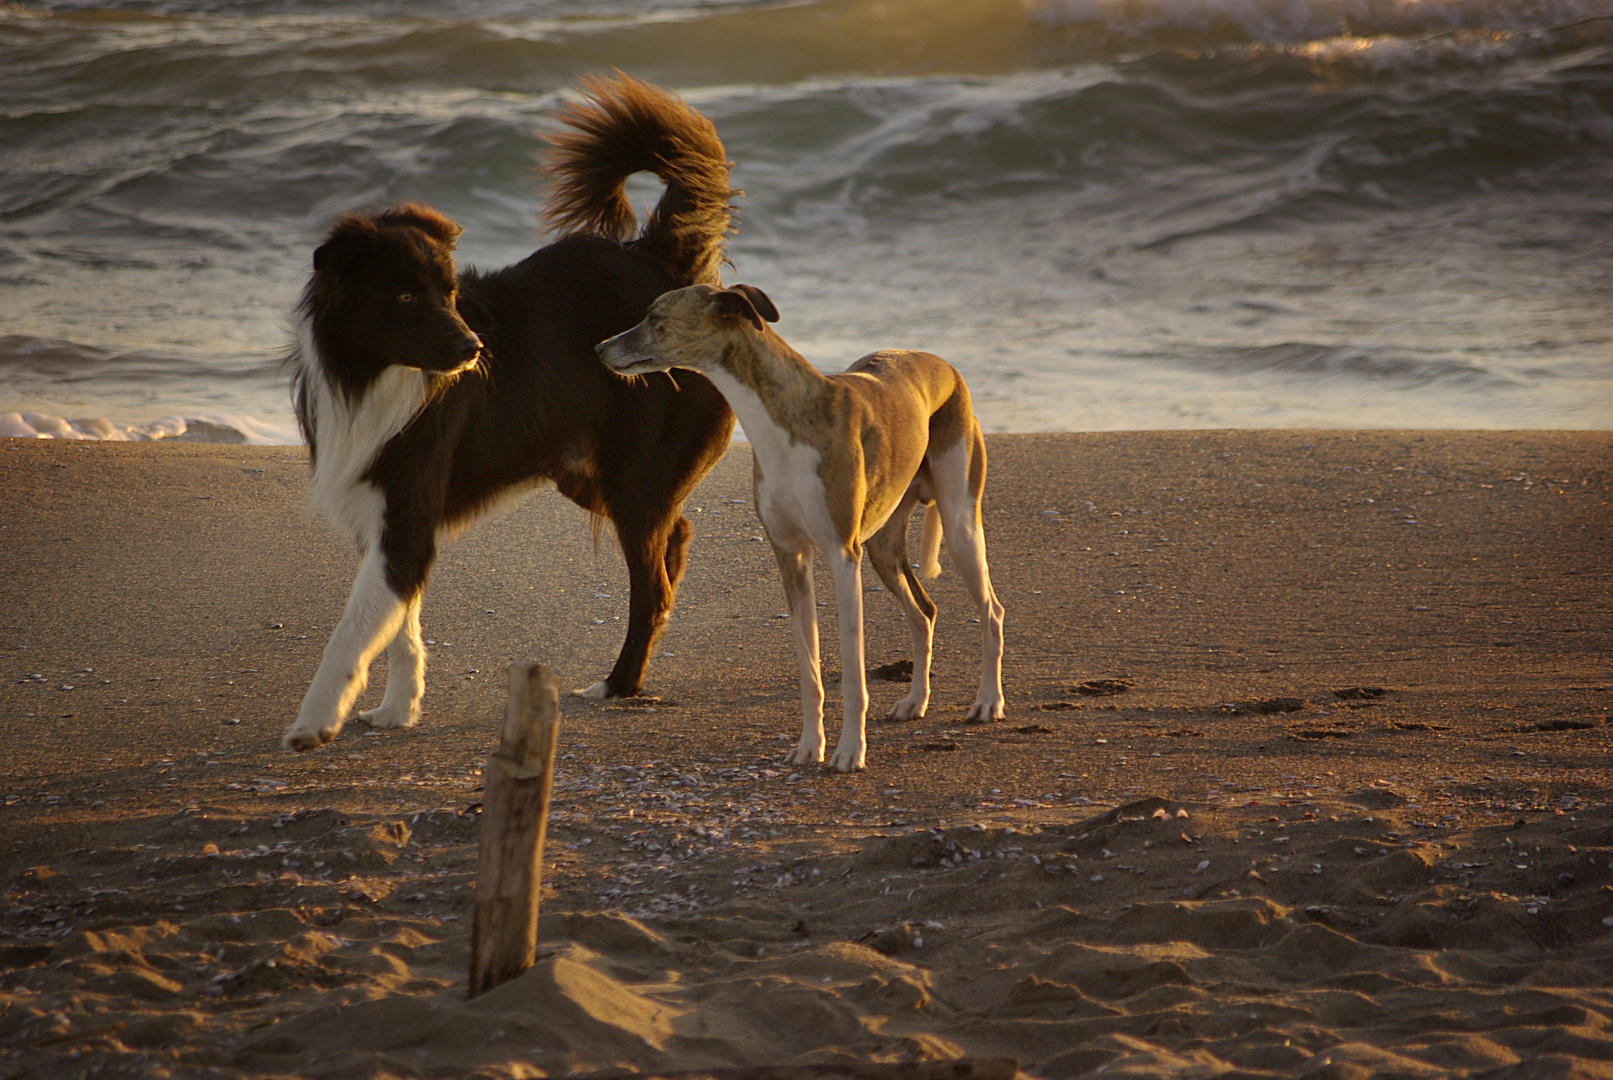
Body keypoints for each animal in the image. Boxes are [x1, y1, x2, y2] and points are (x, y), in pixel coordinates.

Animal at [283, 76, 738, 754]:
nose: (475, 349)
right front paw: (398, 708)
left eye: (449, 294)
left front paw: (315, 721)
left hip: (632, 479)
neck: (374, 373)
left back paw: (619, 684)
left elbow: (353, 630)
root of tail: (661, 266)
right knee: (675, 537)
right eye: (405, 295)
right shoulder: (391, 521)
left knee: (651, 582)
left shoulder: (406, 516)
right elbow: (399, 623)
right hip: (590, 473)